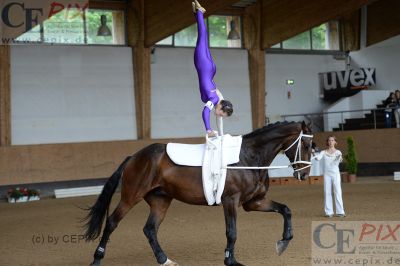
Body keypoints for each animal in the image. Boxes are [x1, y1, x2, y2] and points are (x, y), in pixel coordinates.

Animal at [84, 121, 314, 266]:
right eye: (307, 144)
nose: (304, 174)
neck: (248, 158)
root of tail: (134, 157)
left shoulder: (253, 202)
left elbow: (286, 210)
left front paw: (284, 241)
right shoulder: (230, 201)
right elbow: (232, 232)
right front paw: (230, 260)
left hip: (160, 200)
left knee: (150, 229)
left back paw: (164, 260)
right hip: (131, 196)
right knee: (112, 223)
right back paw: (97, 259)